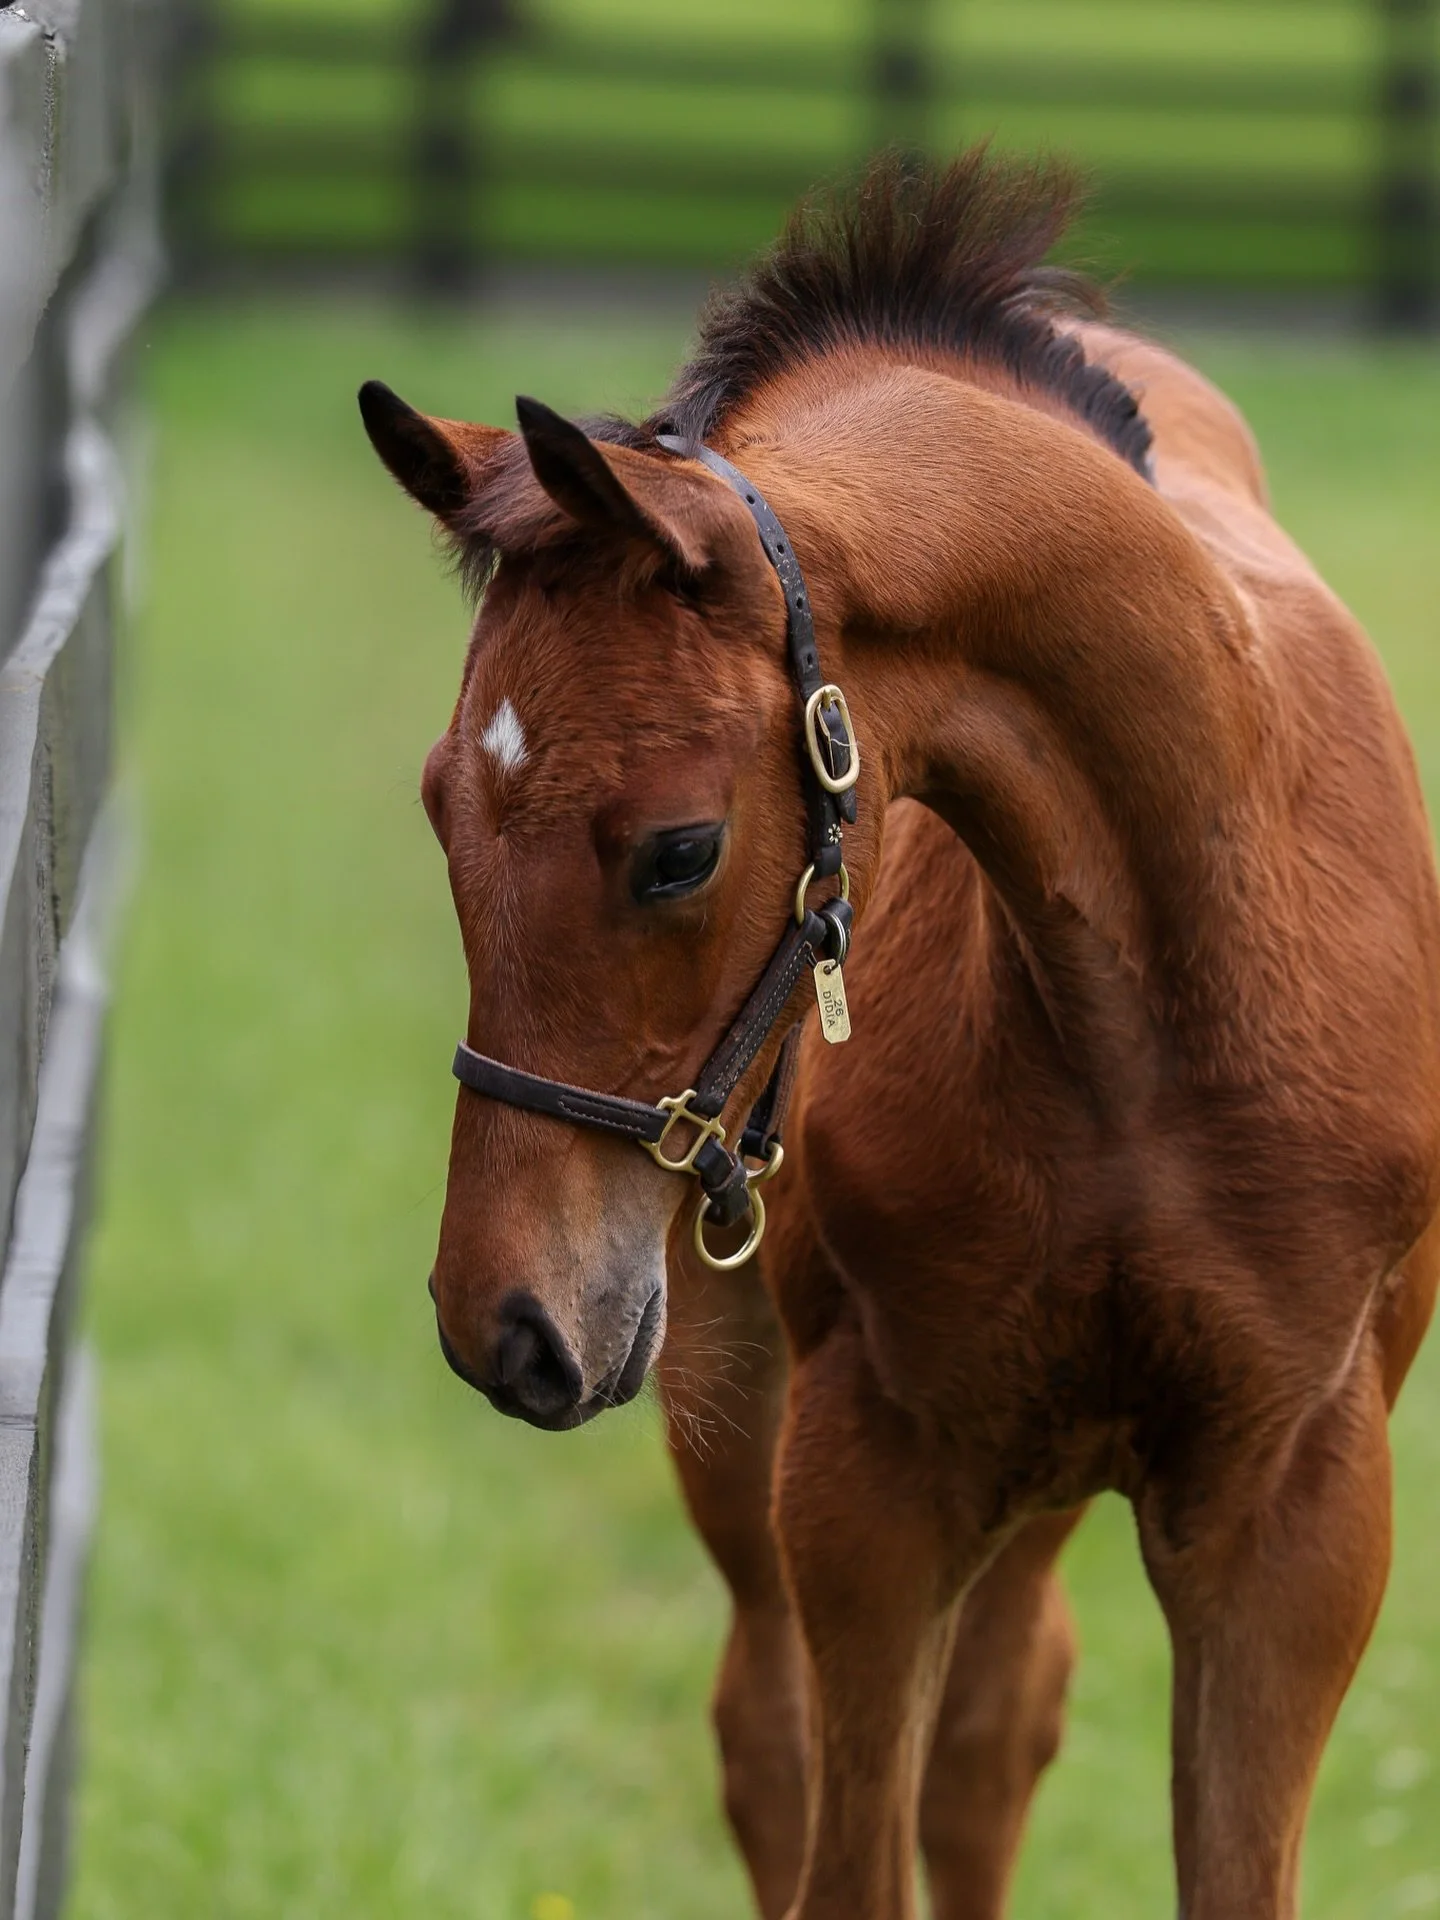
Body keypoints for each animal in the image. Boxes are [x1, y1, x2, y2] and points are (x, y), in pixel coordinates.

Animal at [358, 150, 1440, 1920]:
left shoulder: (1298, 1510)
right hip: (749, 1400)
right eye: (442, 809)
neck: (1143, 1006)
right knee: (775, 1733)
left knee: (997, 1731)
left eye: (679, 851)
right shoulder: (870, 1479)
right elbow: (842, 1848)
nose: (500, 1323)